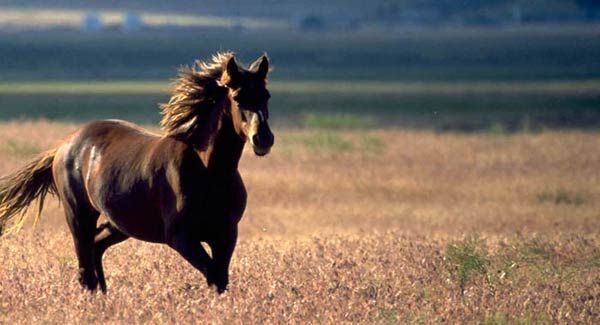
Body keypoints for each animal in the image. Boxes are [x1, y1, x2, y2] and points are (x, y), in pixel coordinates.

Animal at [0, 52, 274, 292]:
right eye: (238, 97)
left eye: (266, 95)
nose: (263, 139)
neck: (208, 172)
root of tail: (63, 146)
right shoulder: (181, 238)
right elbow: (213, 276)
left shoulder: (225, 235)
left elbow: (220, 279)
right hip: (78, 216)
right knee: (85, 269)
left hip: (118, 223)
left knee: (96, 247)